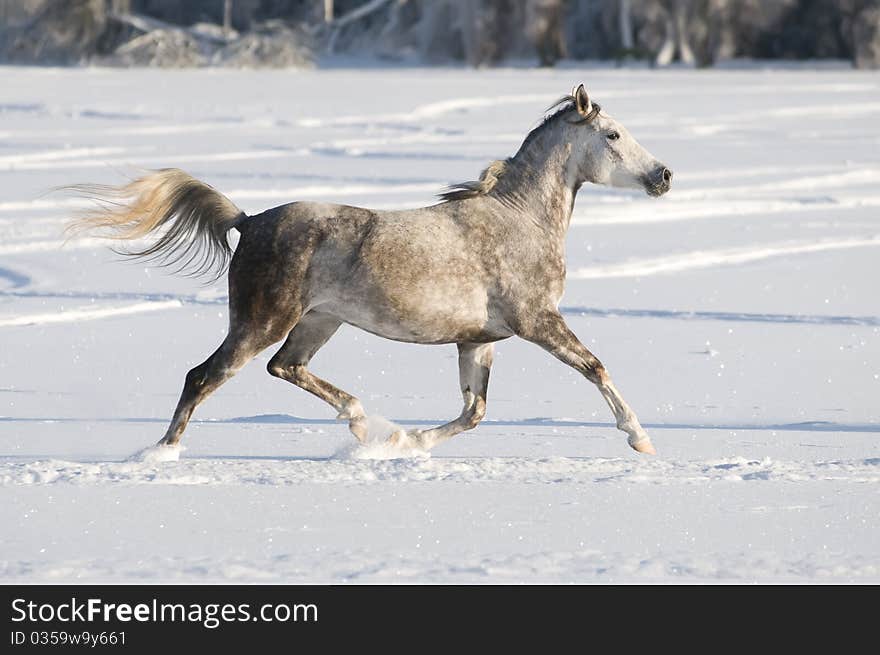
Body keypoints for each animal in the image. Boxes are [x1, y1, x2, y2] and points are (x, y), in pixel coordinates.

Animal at [69, 84, 672, 456]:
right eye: (613, 135)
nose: (664, 176)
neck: (517, 220)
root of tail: (250, 221)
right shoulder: (537, 321)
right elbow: (595, 368)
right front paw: (640, 438)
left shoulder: (477, 339)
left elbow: (473, 411)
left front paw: (406, 444)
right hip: (260, 323)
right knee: (203, 376)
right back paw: (162, 455)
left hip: (318, 322)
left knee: (285, 368)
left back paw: (361, 422)